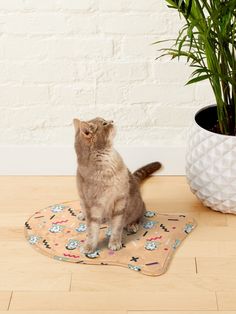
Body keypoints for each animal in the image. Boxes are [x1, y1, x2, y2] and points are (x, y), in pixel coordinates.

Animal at [74, 116, 161, 254]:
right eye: (104, 123)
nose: (112, 121)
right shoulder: (92, 205)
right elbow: (92, 230)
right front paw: (89, 246)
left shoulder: (120, 201)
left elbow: (117, 227)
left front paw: (114, 243)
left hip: (137, 206)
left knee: (139, 215)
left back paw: (132, 224)